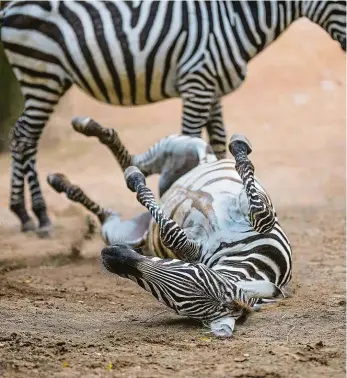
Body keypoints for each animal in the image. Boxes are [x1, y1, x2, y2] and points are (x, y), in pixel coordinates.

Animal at [0, 1, 346, 235]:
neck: (236, 19)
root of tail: (11, 7)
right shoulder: (197, 80)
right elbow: (191, 138)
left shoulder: (213, 88)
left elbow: (219, 144)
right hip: (41, 73)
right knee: (25, 137)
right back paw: (37, 215)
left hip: (45, 79)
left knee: (23, 135)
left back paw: (28, 214)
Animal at [47, 116, 292, 336]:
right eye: (195, 269)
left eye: (171, 302)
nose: (112, 255)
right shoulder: (258, 214)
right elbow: (260, 210)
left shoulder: (190, 248)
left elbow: (172, 233)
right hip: (185, 148)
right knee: (132, 157)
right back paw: (88, 132)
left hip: (119, 231)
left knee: (109, 212)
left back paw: (66, 185)